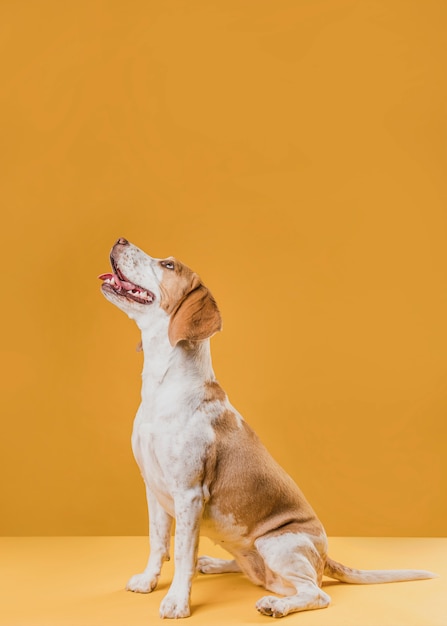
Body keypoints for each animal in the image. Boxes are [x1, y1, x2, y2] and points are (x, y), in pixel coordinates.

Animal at [99, 236, 438, 616]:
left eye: (169, 265)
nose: (121, 239)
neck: (162, 385)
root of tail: (324, 558)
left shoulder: (188, 494)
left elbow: (183, 554)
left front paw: (176, 602)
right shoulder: (154, 489)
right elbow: (158, 542)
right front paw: (148, 581)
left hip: (277, 544)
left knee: (316, 593)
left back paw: (275, 604)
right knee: (250, 570)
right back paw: (214, 564)